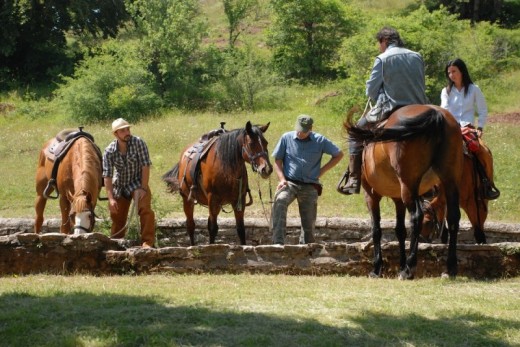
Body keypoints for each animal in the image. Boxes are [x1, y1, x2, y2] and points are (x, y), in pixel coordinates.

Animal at [346, 105, 464, 280]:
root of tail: (435, 114)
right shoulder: (398, 198)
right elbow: (400, 230)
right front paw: (400, 264)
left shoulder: (371, 196)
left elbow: (376, 230)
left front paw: (377, 268)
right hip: (450, 182)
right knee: (453, 218)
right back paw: (450, 268)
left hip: (408, 186)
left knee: (416, 217)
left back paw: (409, 268)